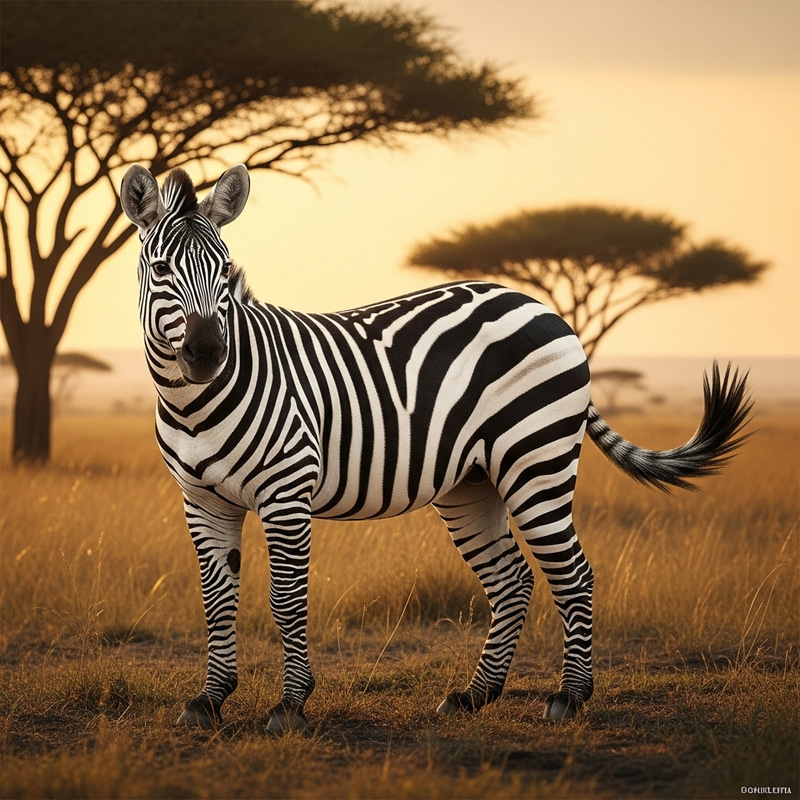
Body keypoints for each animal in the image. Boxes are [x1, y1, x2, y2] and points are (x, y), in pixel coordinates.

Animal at [120, 164, 751, 733]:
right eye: (160, 269)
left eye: (225, 272)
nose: (207, 352)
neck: (195, 404)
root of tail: (543, 307)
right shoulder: (202, 500)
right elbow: (216, 600)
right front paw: (209, 699)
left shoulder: (286, 493)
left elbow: (286, 599)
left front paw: (291, 705)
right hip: (472, 485)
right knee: (512, 579)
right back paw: (474, 696)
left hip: (536, 463)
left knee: (573, 574)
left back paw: (569, 698)